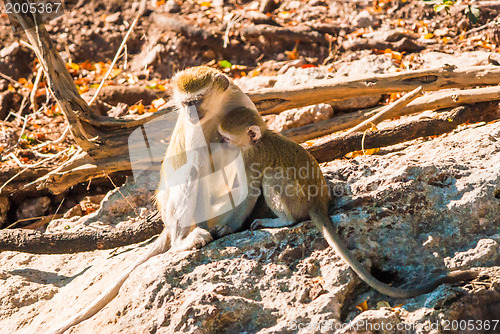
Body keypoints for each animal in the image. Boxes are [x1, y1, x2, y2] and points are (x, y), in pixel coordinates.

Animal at [48, 66, 264, 332]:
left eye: (197, 100)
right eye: (186, 103)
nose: (191, 114)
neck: (219, 108)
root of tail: (167, 224)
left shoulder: (242, 103)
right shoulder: (194, 130)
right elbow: (200, 166)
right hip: (178, 211)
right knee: (192, 172)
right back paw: (183, 241)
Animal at [219, 106, 480, 298]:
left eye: (226, 138)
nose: (218, 144)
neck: (258, 141)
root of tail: (318, 203)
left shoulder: (250, 159)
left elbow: (250, 192)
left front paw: (228, 227)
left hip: (296, 199)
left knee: (274, 180)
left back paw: (283, 220)